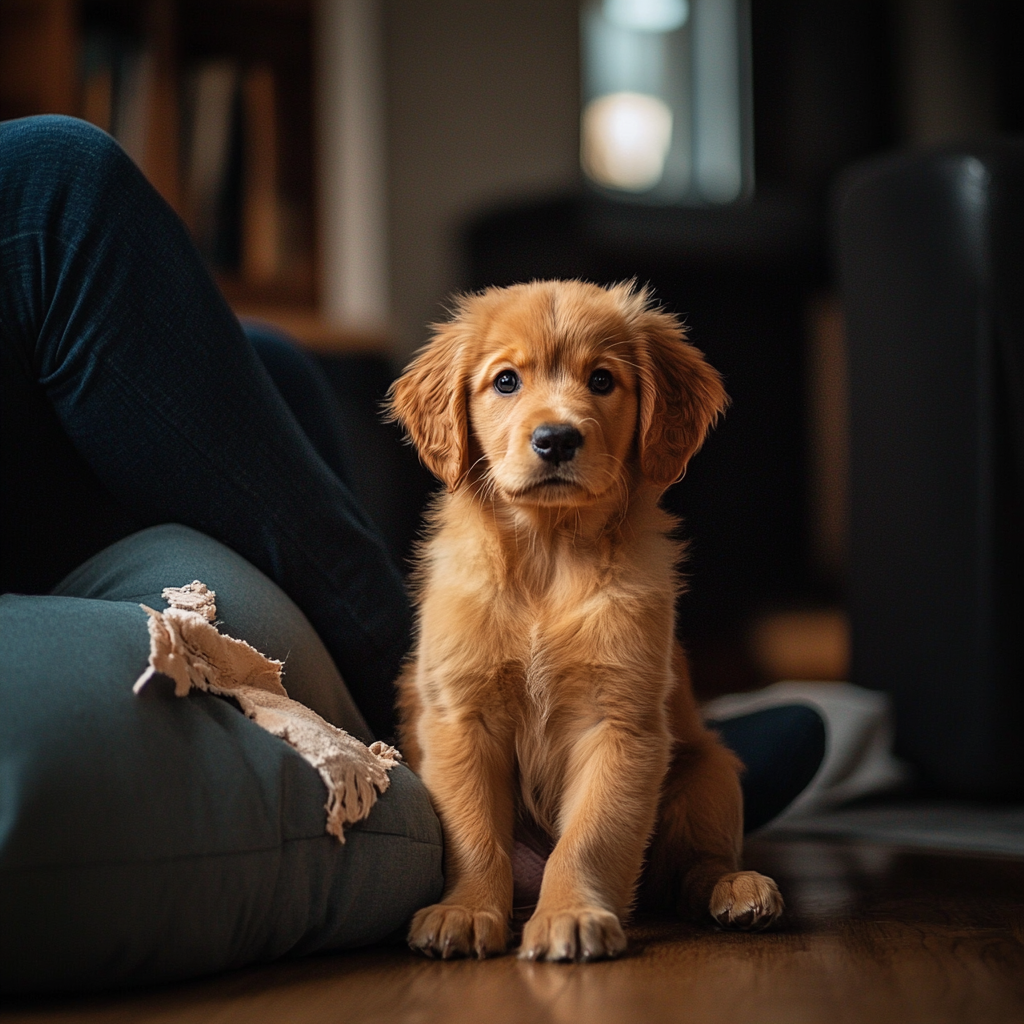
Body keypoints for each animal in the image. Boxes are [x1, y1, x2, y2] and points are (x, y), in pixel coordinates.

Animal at [387, 280, 778, 958]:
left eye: (601, 380)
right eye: (506, 381)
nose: (557, 439)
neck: (549, 559)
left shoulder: (619, 724)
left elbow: (591, 837)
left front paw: (570, 912)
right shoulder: (461, 716)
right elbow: (472, 832)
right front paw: (465, 910)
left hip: (710, 773)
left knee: (693, 869)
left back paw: (738, 888)